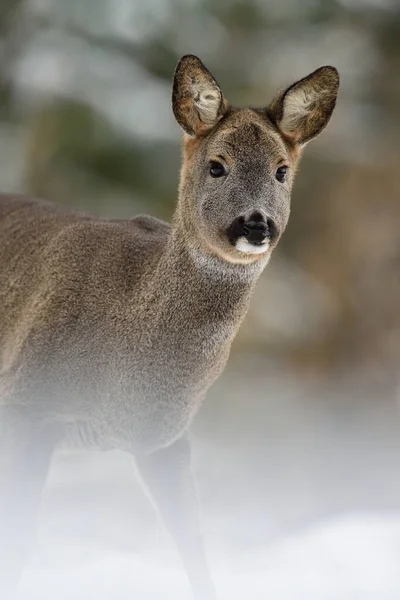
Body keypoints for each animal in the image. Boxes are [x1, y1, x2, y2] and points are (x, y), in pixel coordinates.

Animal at [0, 54, 338, 596]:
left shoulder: (168, 438)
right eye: (217, 165)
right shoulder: (25, 401)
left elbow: (193, 544)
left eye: (282, 171)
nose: (256, 224)